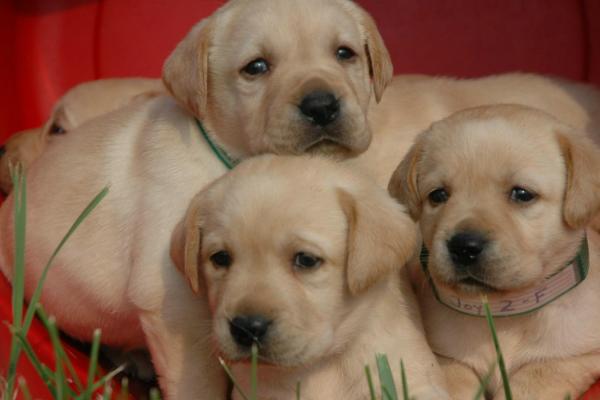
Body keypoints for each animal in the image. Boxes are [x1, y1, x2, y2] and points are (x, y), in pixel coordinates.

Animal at [386, 104, 600, 398]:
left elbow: (533, 379)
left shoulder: (576, 356)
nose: (464, 247)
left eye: (522, 194)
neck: (502, 313)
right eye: (438, 195)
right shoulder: (448, 358)